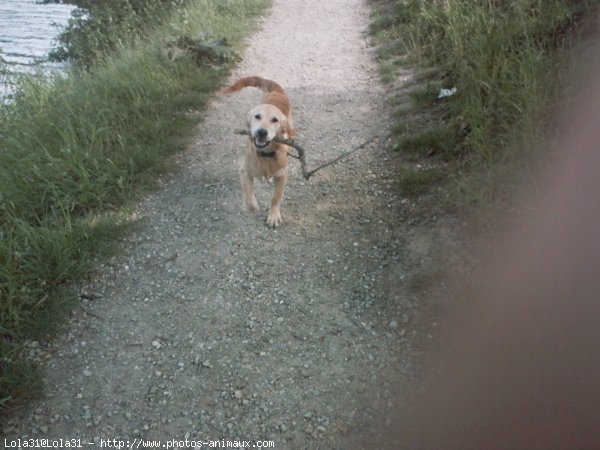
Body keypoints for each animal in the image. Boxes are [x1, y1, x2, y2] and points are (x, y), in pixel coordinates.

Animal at [223, 76, 296, 229]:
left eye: (275, 120)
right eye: (257, 116)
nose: (262, 132)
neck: (266, 155)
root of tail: (277, 92)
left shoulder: (282, 175)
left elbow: (276, 197)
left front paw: (273, 215)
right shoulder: (244, 171)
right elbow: (249, 197)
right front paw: (252, 207)